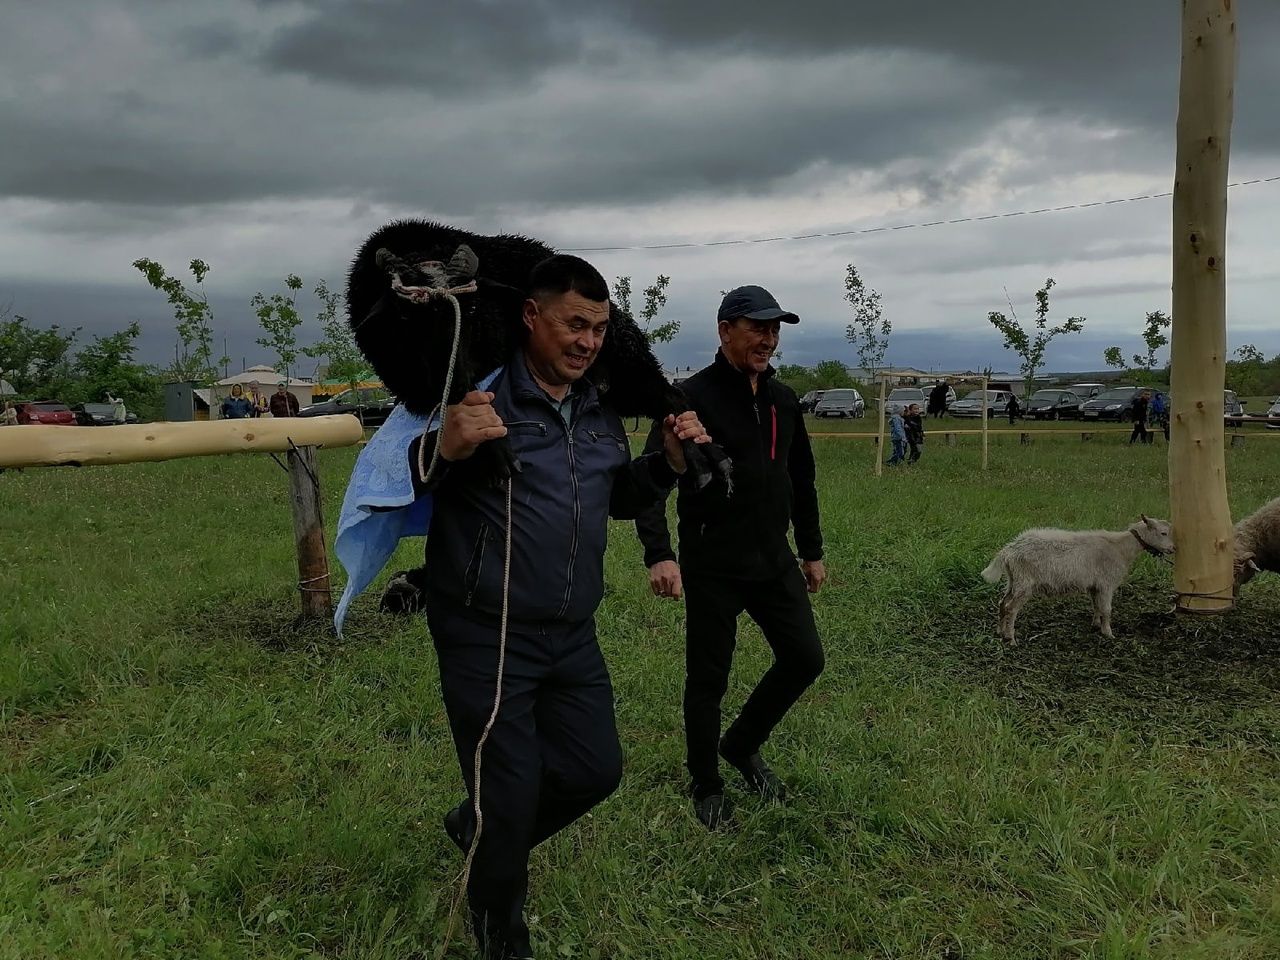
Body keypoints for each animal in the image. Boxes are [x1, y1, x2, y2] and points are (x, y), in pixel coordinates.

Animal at [983, 514, 1172, 642]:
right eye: (1163, 533)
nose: (1173, 548)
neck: (1121, 548)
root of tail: (1009, 550)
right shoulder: (1106, 584)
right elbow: (1107, 609)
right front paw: (1108, 633)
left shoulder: (1095, 586)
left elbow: (1097, 606)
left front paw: (1096, 625)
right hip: (1025, 583)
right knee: (1011, 608)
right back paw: (1010, 638)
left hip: (1014, 580)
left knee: (1002, 603)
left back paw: (1000, 631)